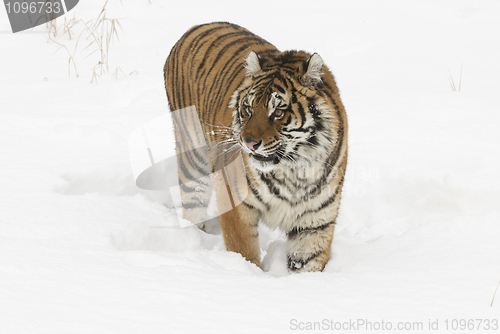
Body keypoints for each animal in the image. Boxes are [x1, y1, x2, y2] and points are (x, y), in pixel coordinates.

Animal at [164, 20, 348, 272]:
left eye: (278, 112)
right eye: (248, 109)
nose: (248, 142)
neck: (294, 170)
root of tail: (196, 26)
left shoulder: (315, 223)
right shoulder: (235, 201)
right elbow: (244, 251)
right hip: (193, 154)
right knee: (193, 202)